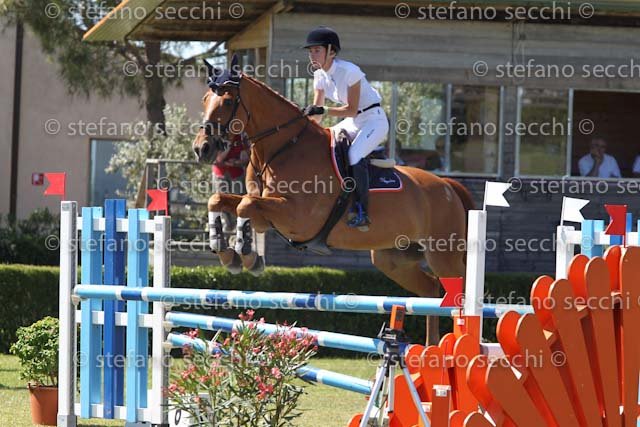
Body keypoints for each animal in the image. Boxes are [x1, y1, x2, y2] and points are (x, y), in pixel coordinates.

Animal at [192, 55, 474, 345]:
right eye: (205, 99)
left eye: (227, 101)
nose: (202, 148)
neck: (282, 148)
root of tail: (448, 186)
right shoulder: (266, 210)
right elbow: (220, 200)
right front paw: (227, 254)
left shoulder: (298, 218)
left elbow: (244, 206)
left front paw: (247, 258)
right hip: (393, 258)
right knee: (431, 289)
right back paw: (432, 347)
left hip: (443, 254)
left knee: (458, 293)